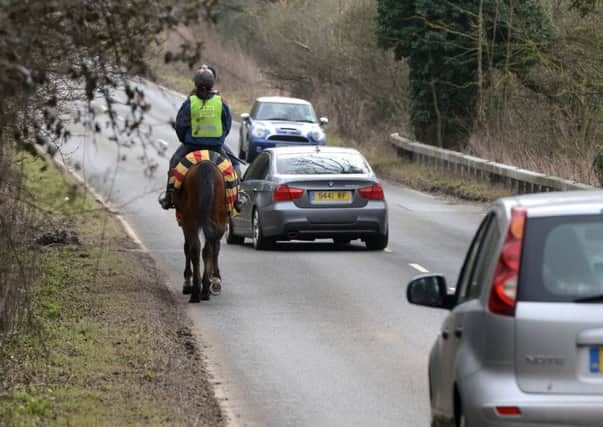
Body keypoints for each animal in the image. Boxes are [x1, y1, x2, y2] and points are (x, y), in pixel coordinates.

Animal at [172, 160, 229, 304]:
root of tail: (206, 167)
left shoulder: (184, 221)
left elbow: (187, 247)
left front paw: (187, 283)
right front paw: (214, 280)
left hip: (190, 219)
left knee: (195, 248)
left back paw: (196, 291)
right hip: (218, 217)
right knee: (207, 249)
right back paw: (204, 290)